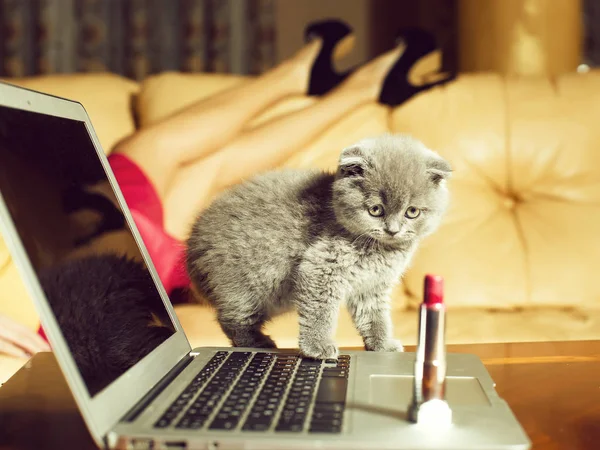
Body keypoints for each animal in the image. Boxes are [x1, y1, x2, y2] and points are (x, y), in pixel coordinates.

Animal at [185, 134, 452, 358]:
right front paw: (317, 346)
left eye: (412, 212)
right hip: (244, 286)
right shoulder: (321, 267)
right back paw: (257, 343)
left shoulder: (372, 285)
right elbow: (319, 311)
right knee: (233, 319)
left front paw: (382, 345)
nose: (393, 230)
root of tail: (192, 244)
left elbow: (374, 316)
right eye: (375, 210)